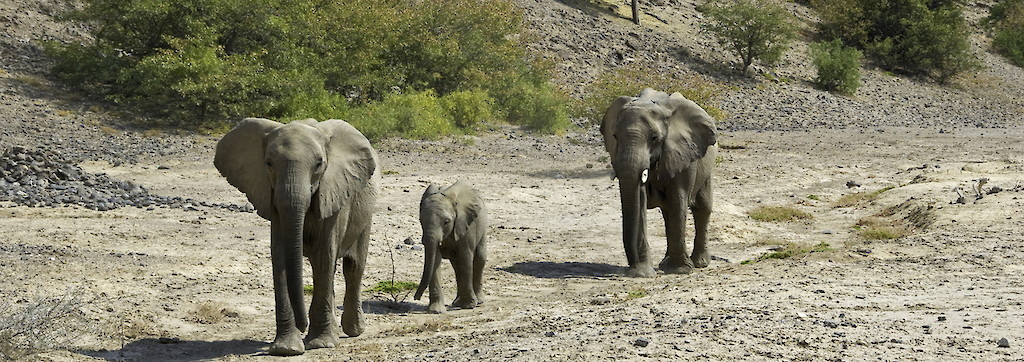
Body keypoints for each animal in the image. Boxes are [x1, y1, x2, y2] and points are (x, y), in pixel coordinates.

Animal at [216, 117, 380, 355]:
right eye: (268, 163)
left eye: (319, 163)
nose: (303, 326)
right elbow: (280, 257)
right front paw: (287, 349)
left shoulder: (333, 191)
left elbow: (325, 254)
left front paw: (320, 344)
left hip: (365, 213)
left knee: (352, 267)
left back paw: (354, 330)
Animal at [413, 182, 485, 312]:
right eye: (421, 220)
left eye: (446, 222)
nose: (416, 297)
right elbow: (435, 260)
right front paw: (436, 311)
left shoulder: (466, 225)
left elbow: (466, 257)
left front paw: (468, 306)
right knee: (456, 266)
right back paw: (457, 303)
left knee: (479, 260)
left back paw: (479, 301)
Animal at [598, 88, 720, 278]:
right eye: (615, 136)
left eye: (654, 138)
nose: (631, 268)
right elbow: (640, 201)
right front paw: (642, 273)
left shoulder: (684, 152)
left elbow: (678, 199)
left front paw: (680, 270)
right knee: (667, 212)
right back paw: (665, 264)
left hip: (706, 164)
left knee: (702, 208)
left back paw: (700, 263)